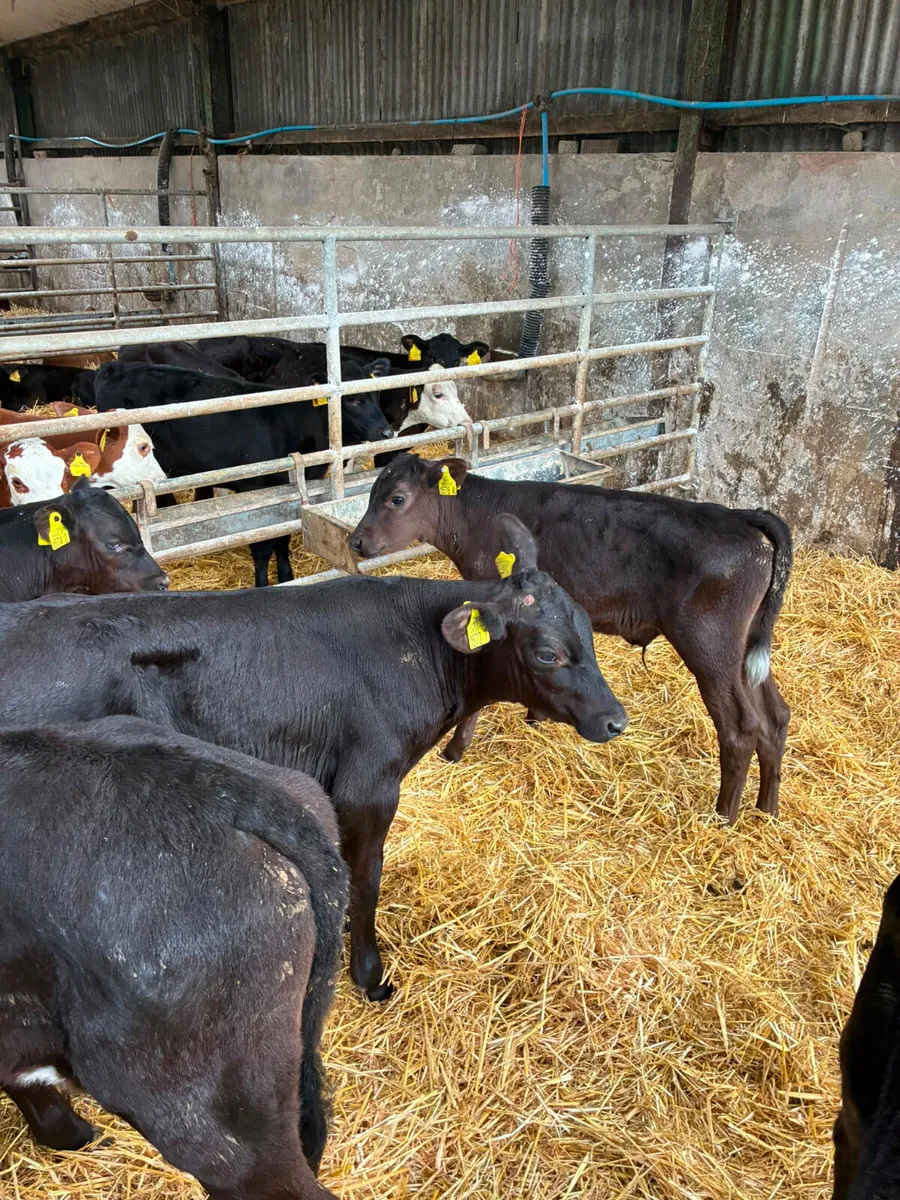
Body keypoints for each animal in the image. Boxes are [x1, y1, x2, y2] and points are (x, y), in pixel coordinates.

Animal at [0, 516, 626, 1000]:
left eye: (590, 632)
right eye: (548, 653)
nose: (615, 719)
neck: (417, 644)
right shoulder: (366, 787)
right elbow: (364, 878)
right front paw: (369, 973)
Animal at [93, 360, 393, 587]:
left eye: (376, 394)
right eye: (353, 400)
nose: (387, 432)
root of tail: (113, 366)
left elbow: (282, 538)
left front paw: (286, 575)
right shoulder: (255, 490)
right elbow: (262, 546)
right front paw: (263, 583)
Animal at [348, 454, 793, 825]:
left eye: (397, 499)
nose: (356, 541)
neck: (477, 515)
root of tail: (743, 518)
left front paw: (456, 750)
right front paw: (536, 715)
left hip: (710, 645)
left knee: (740, 727)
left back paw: (723, 816)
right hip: (745, 649)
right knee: (775, 716)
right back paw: (767, 810)